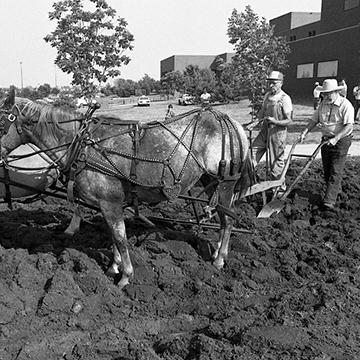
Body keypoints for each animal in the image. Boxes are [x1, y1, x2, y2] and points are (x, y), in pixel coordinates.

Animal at [0, 92, 253, 286]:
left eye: (2, 122)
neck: (82, 145)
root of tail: (231, 122)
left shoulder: (110, 202)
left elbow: (120, 238)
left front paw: (125, 276)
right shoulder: (107, 204)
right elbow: (113, 235)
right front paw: (114, 267)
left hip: (226, 183)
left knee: (227, 221)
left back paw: (219, 259)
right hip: (211, 182)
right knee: (223, 216)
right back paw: (218, 250)